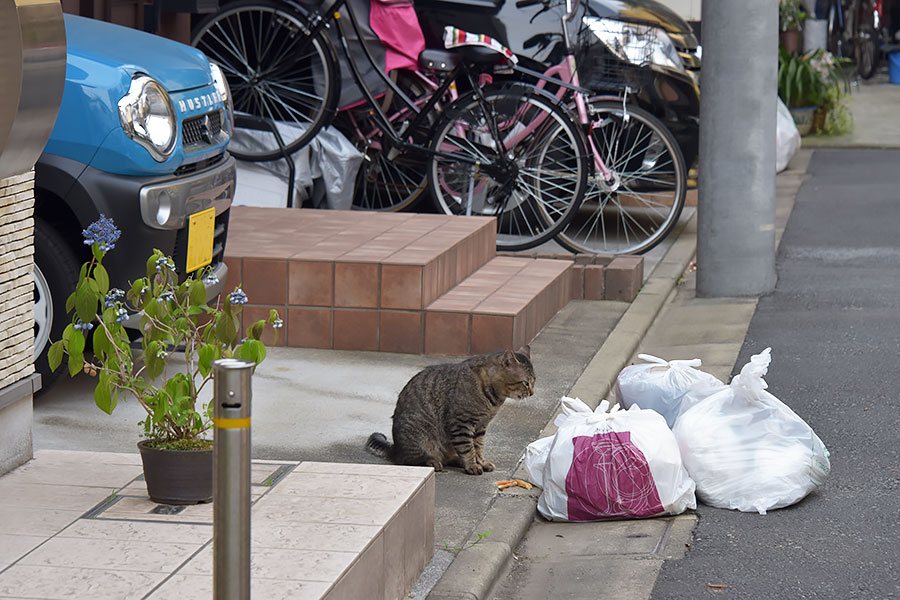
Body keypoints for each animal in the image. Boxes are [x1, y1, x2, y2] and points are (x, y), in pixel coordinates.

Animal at [366, 346, 536, 474]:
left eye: (534, 382)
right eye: (526, 383)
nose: (532, 393)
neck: (494, 400)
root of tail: (395, 448)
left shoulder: (481, 426)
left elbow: (478, 447)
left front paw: (480, 462)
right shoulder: (462, 423)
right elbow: (468, 448)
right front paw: (472, 465)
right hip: (421, 437)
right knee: (411, 460)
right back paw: (433, 462)